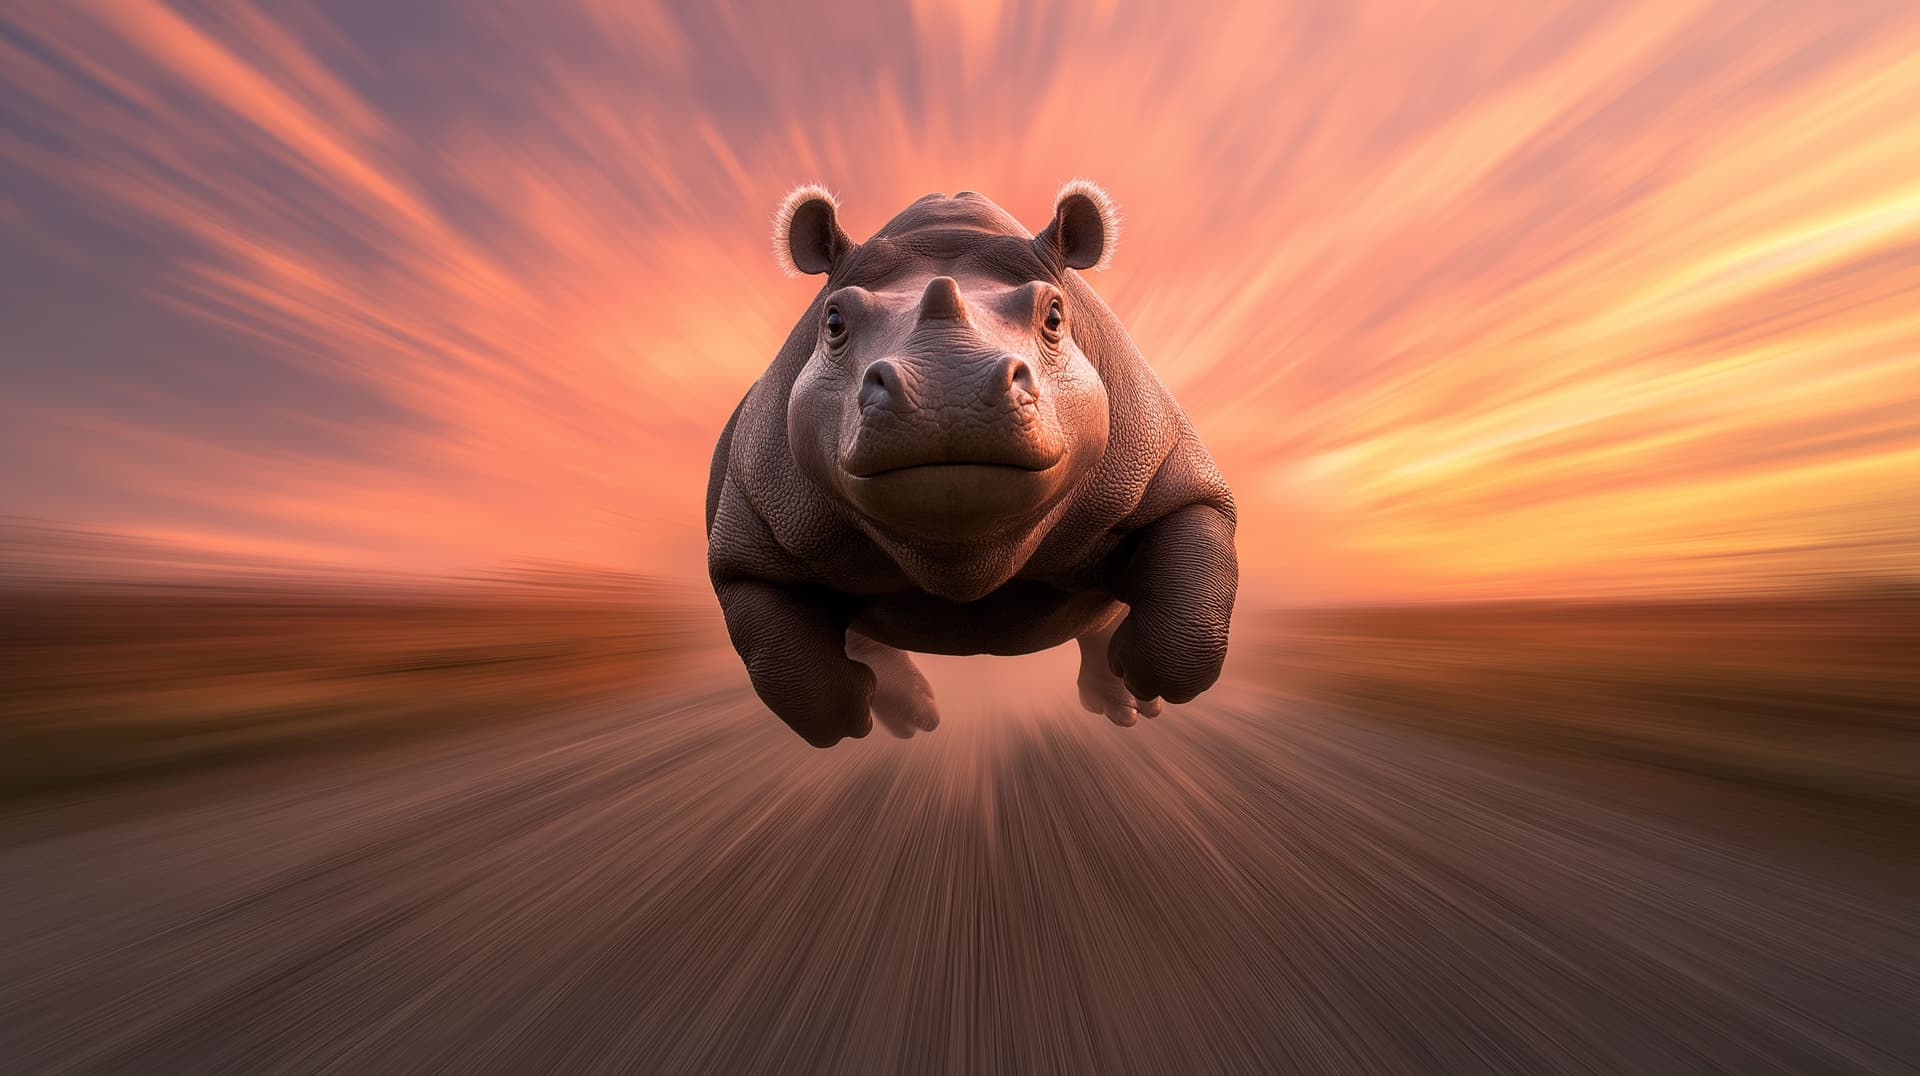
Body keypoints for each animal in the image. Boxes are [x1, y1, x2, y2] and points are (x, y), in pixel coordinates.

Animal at [706, 182, 1237, 746]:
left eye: (1054, 316)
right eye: (833, 322)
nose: (948, 394)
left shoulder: (1168, 469)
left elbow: (1189, 617)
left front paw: (1136, 671)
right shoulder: (753, 530)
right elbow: (789, 669)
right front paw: (853, 714)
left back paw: (1128, 704)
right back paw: (910, 718)